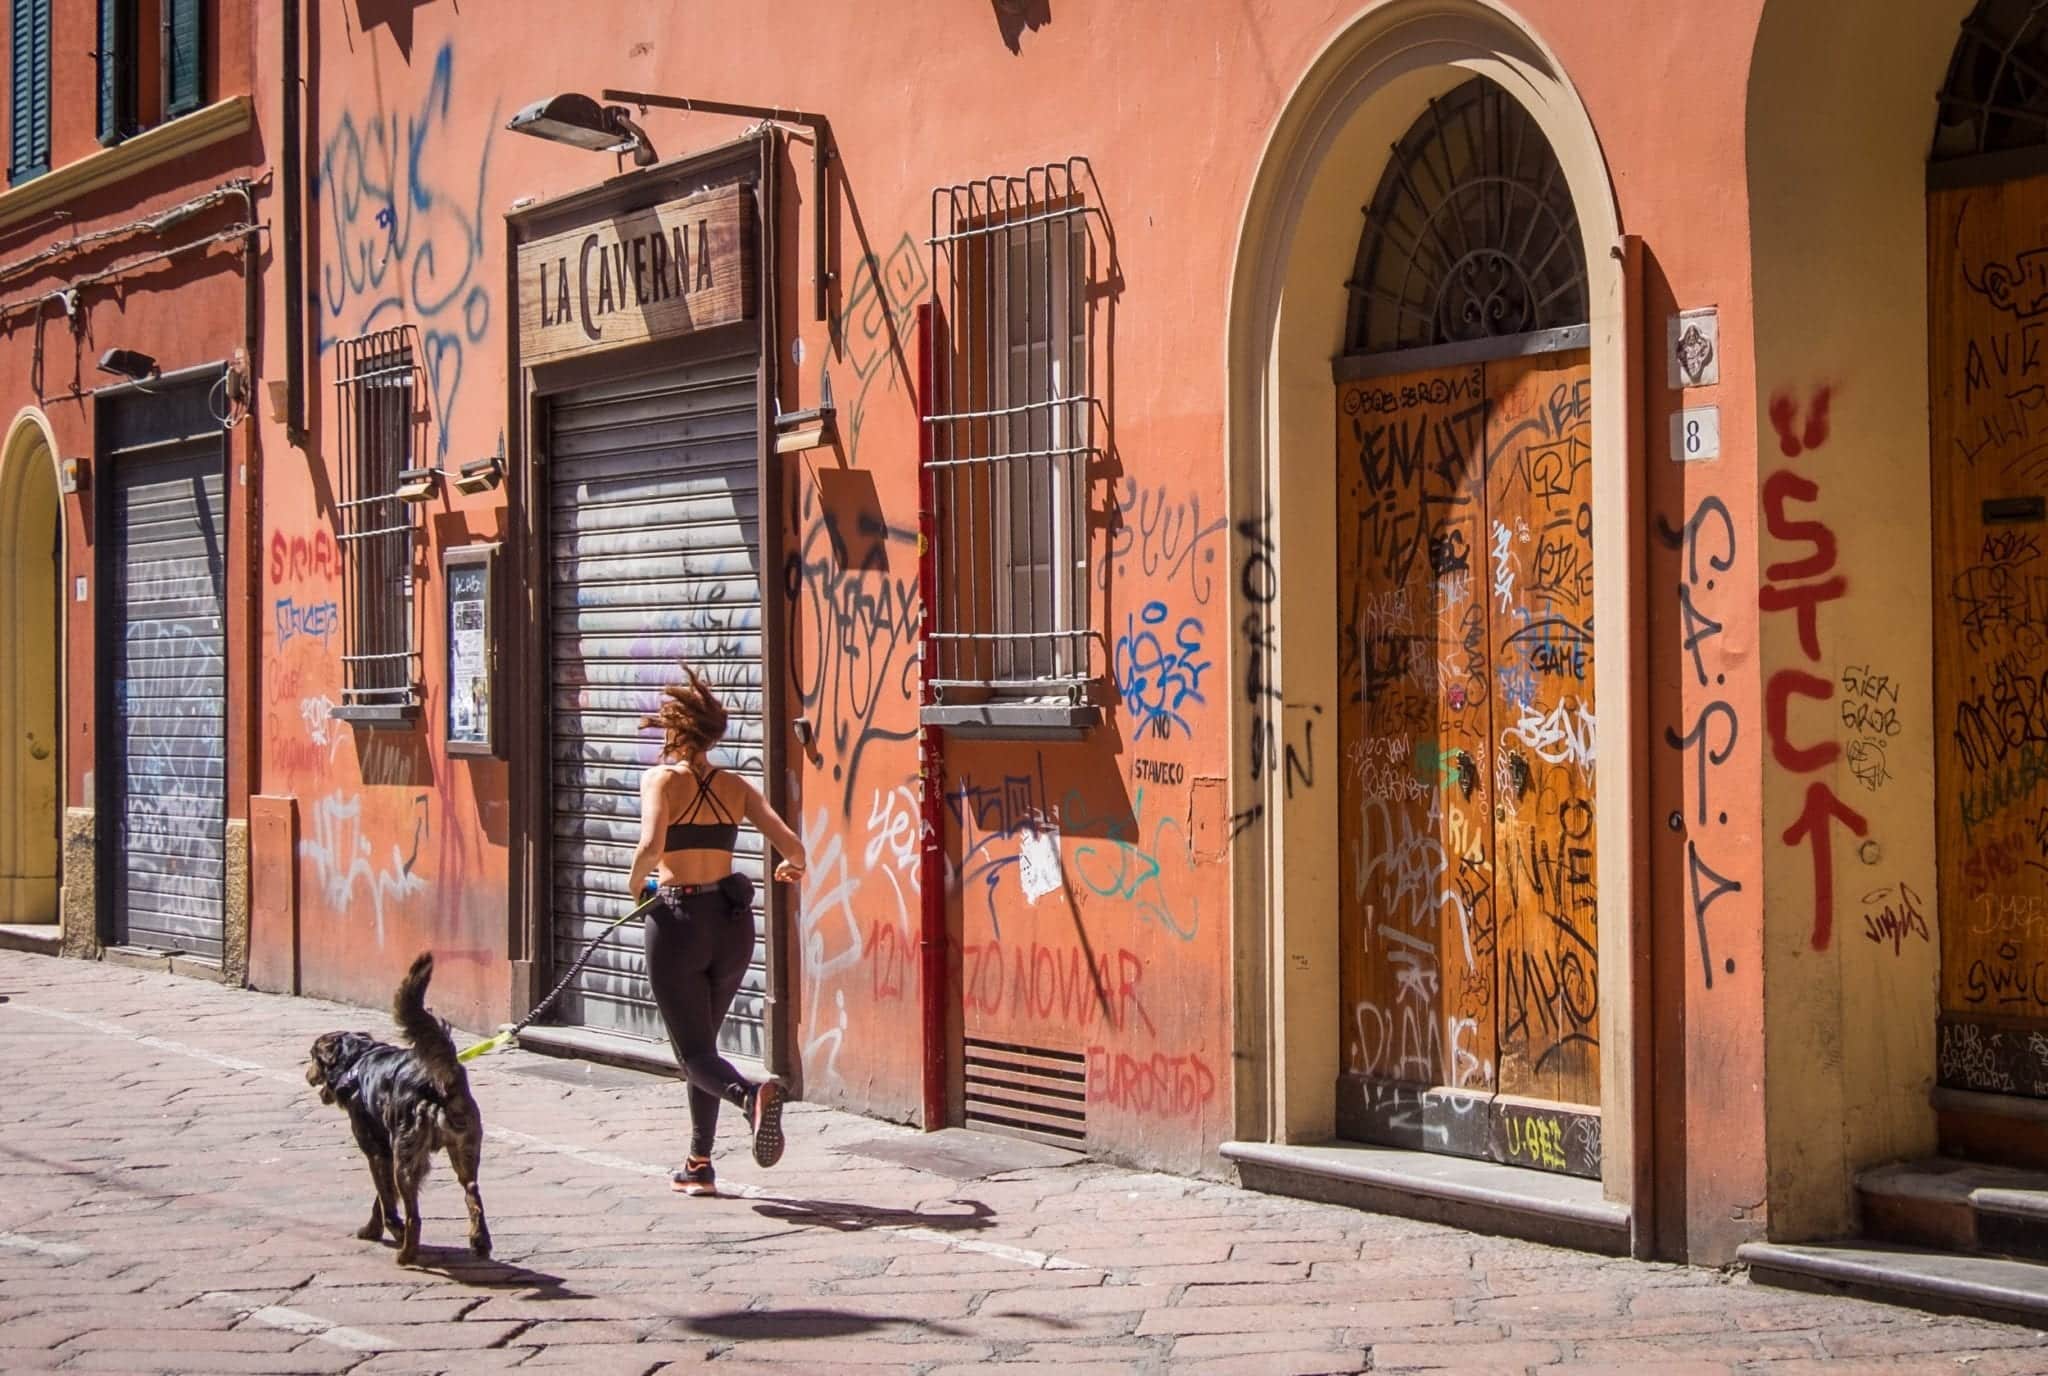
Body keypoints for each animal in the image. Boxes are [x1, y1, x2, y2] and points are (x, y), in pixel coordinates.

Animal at [303, 950, 491, 1261]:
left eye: (313, 1056)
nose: (307, 1075)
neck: (356, 1059)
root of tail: (439, 1084)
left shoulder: (377, 1151)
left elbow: (387, 1202)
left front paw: (392, 1230)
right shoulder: (385, 1151)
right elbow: (381, 1199)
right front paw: (372, 1229)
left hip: (407, 1157)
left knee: (416, 1215)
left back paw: (407, 1253)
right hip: (465, 1149)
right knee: (472, 1193)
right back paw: (480, 1241)